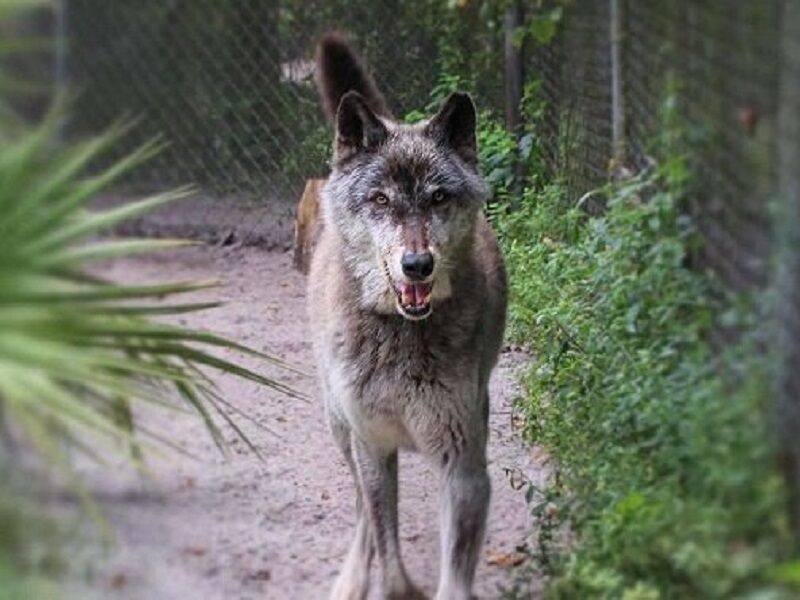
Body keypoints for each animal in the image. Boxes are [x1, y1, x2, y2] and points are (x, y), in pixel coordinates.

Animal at [310, 34, 510, 600]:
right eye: (380, 200)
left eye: (438, 198)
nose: (417, 265)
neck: (402, 335)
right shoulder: (373, 446)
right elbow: (388, 551)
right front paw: (387, 585)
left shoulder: (464, 465)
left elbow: (454, 575)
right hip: (341, 428)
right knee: (362, 513)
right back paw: (350, 581)